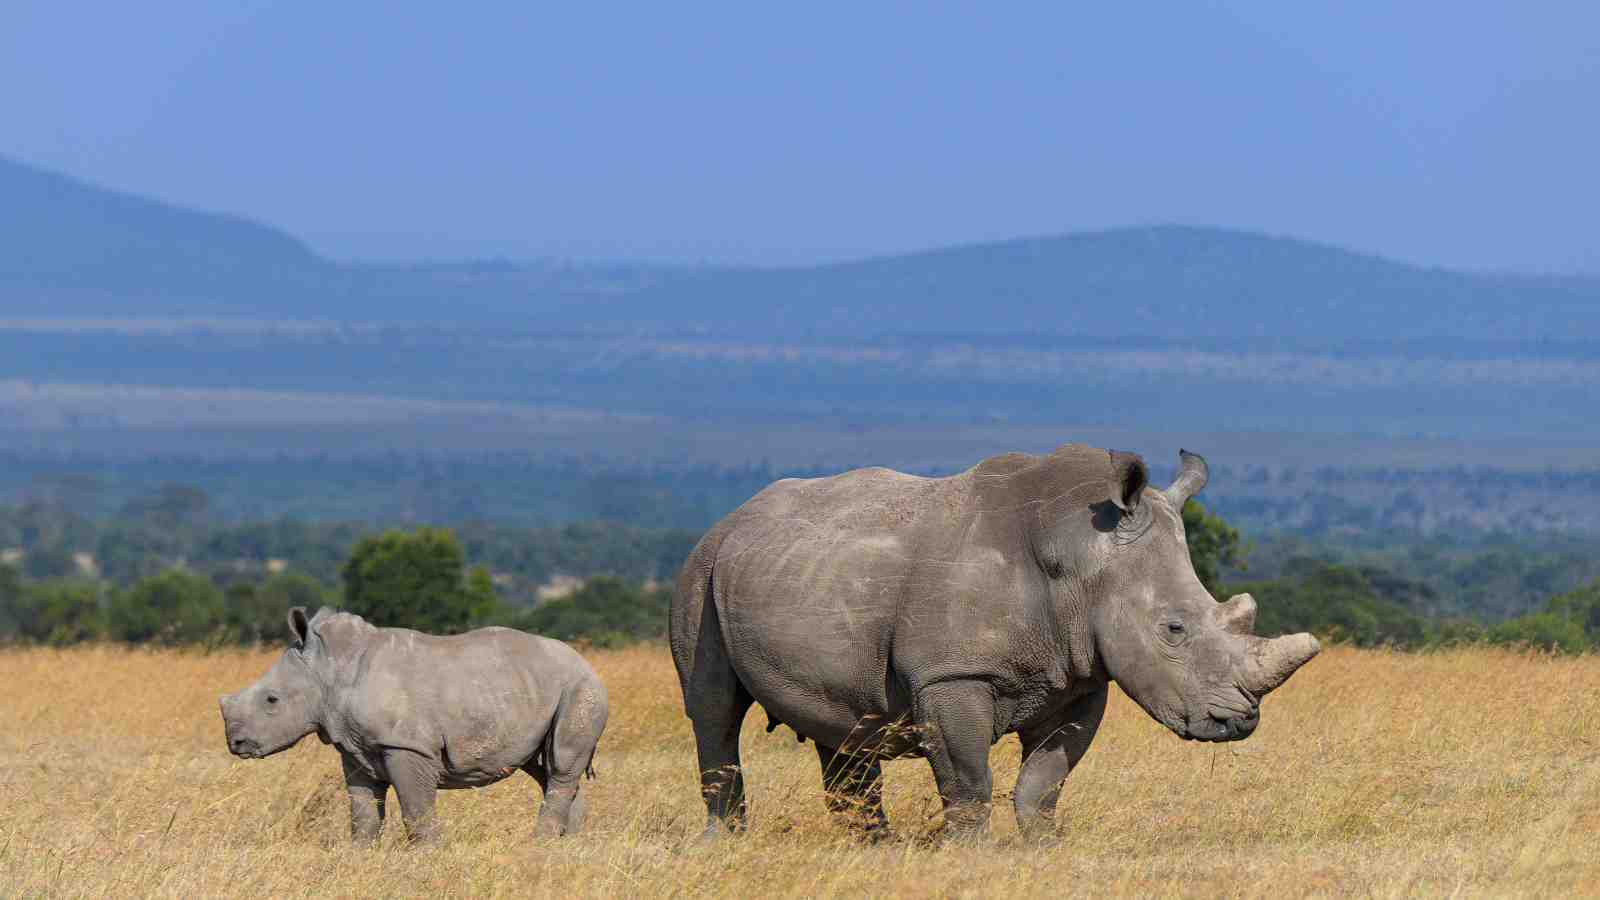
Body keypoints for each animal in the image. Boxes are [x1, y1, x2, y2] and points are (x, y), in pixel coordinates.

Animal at [219, 605, 604, 845]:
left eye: (272, 700)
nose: (235, 743)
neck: (331, 668)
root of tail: (586, 663)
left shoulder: (405, 744)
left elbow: (415, 809)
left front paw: (428, 854)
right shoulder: (355, 747)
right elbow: (363, 812)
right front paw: (360, 854)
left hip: (580, 688)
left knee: (560, 762)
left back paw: (540, 842)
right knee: (545, 767)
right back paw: (566, 845)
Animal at [668, 445, 1318, 839]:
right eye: (1173, 629)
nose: (1238, 721)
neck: (1083, 558)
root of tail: (733, 516)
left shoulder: (1082, 676)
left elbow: (1045, 779)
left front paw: (1043, 848)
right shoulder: (951, 675)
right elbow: (969, 782)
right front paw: (968, 853)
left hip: (800, 573)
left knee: (846, 725)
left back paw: (872, 847)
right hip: (700, 570)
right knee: (714, 712)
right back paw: (727, 841)